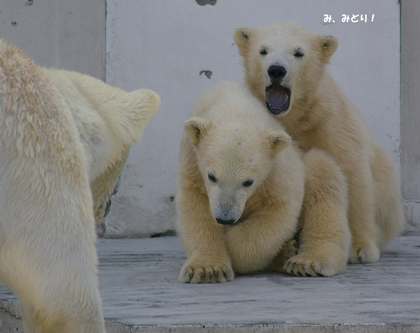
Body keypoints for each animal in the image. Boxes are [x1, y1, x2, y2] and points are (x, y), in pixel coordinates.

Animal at [176, 80, 350, 280]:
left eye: (248, 182)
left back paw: (305, 261)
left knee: (323, 179)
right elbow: (195, 205)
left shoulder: (275, 168)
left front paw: (232, 245)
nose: (225, 218)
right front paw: (207, 269)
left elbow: (279, 210)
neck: (236, 107)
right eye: (211, 176)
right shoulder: (192, 159)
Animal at [235, 20, 406, 264]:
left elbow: (352, 173)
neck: (295, 115)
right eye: (263, 50)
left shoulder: (331, 122)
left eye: (298, 53)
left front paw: (360, 248)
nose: (276, 70)